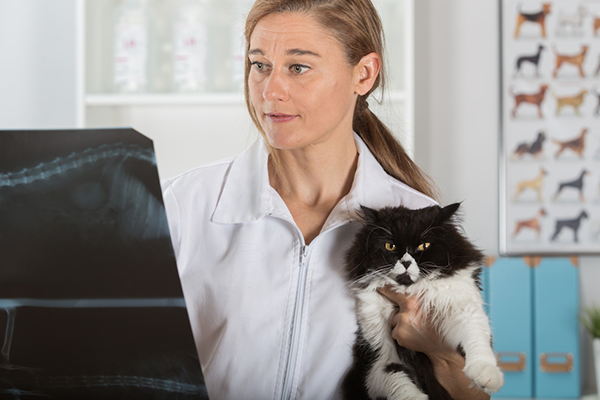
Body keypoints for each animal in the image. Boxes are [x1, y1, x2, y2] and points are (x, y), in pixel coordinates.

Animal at [342, 205, 502, 398]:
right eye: (390, 246)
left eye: (424, 245)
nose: (405, 262)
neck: (409, 289)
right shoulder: (378, 355)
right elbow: (397, 378)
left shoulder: (463, 307)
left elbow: (476, 337)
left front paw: (487, 376)